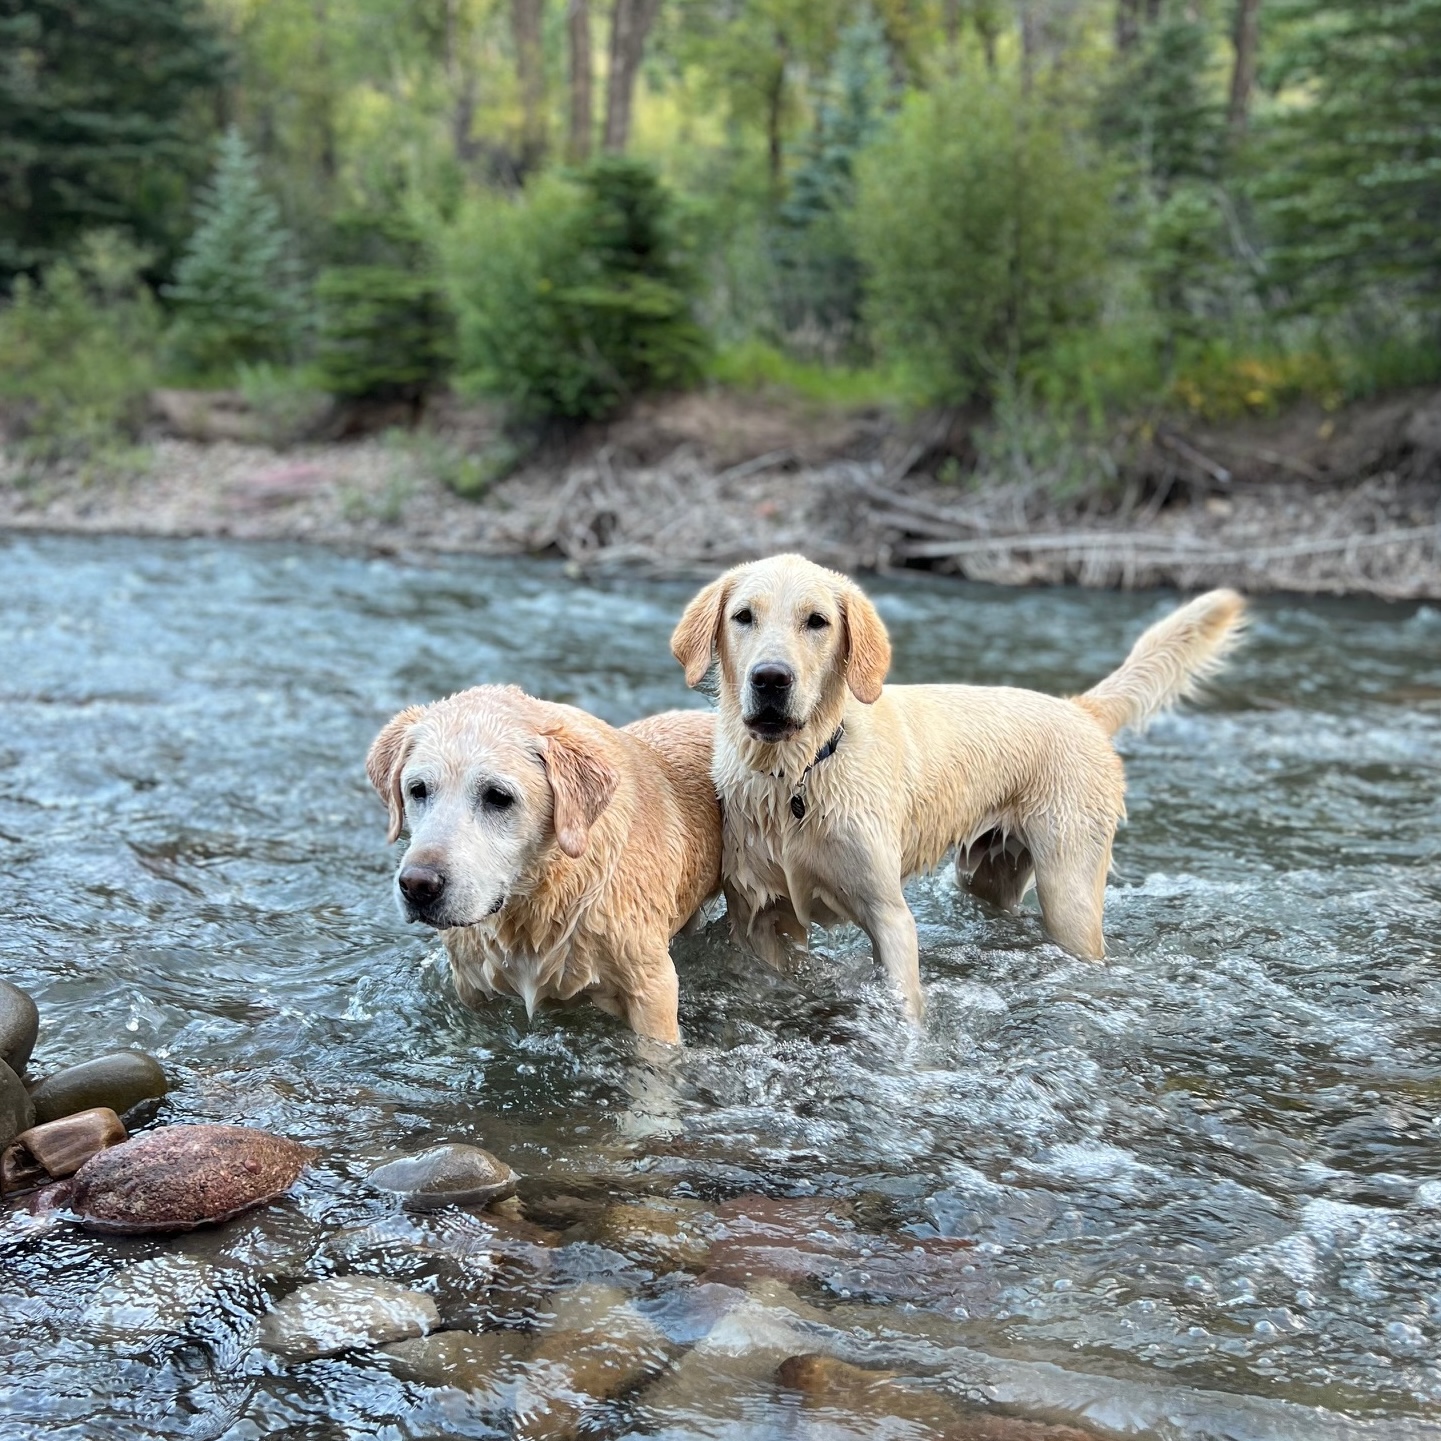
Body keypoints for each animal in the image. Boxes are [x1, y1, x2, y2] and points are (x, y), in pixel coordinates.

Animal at [668, 547, 1245, 1014]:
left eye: (817, 621)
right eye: (744, 616)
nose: (771, 678)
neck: (798, 773)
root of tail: (1080, 710)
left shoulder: (889, 916)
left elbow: (905, 1003)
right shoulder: (761, 914)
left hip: (1070, 891)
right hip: (990, 872)